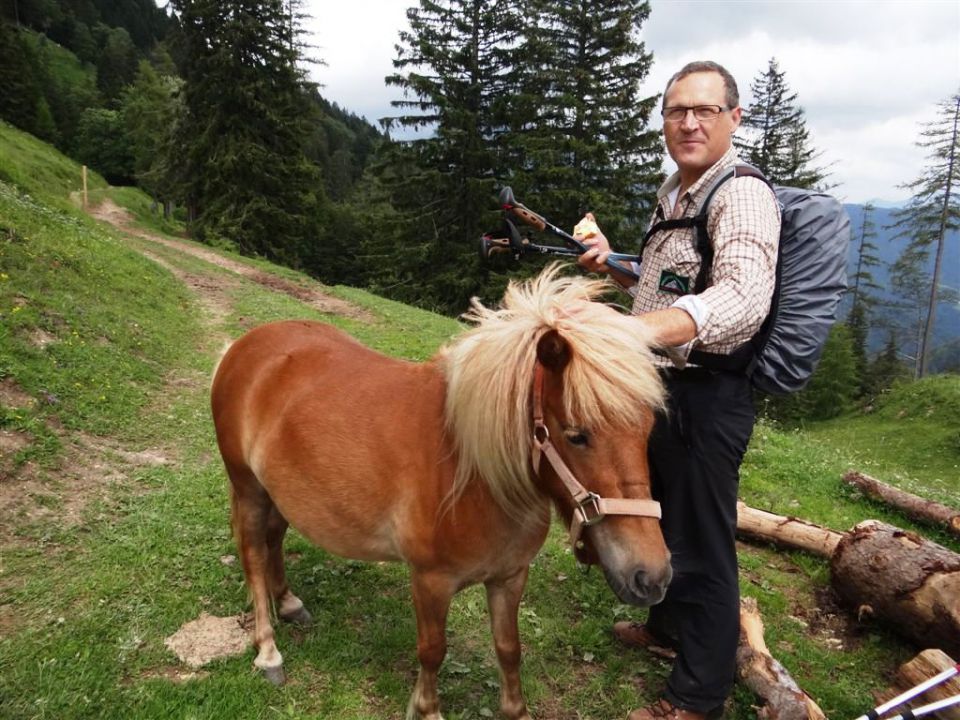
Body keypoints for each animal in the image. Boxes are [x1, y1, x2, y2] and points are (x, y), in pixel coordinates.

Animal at [210, 266, 676, 720]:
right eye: (577, 435)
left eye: (649, 433)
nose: (651, 577)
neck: (476, 472)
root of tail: (245, 345)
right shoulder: (431, 581)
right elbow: (433, 651)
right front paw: (427, 708)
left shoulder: (510, 577)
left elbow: (509, 649)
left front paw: (515, 710)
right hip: (248, 488)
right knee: (253, 555)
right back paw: (268, 650)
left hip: (280, 491)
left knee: (274, 540)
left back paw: (288, 603)